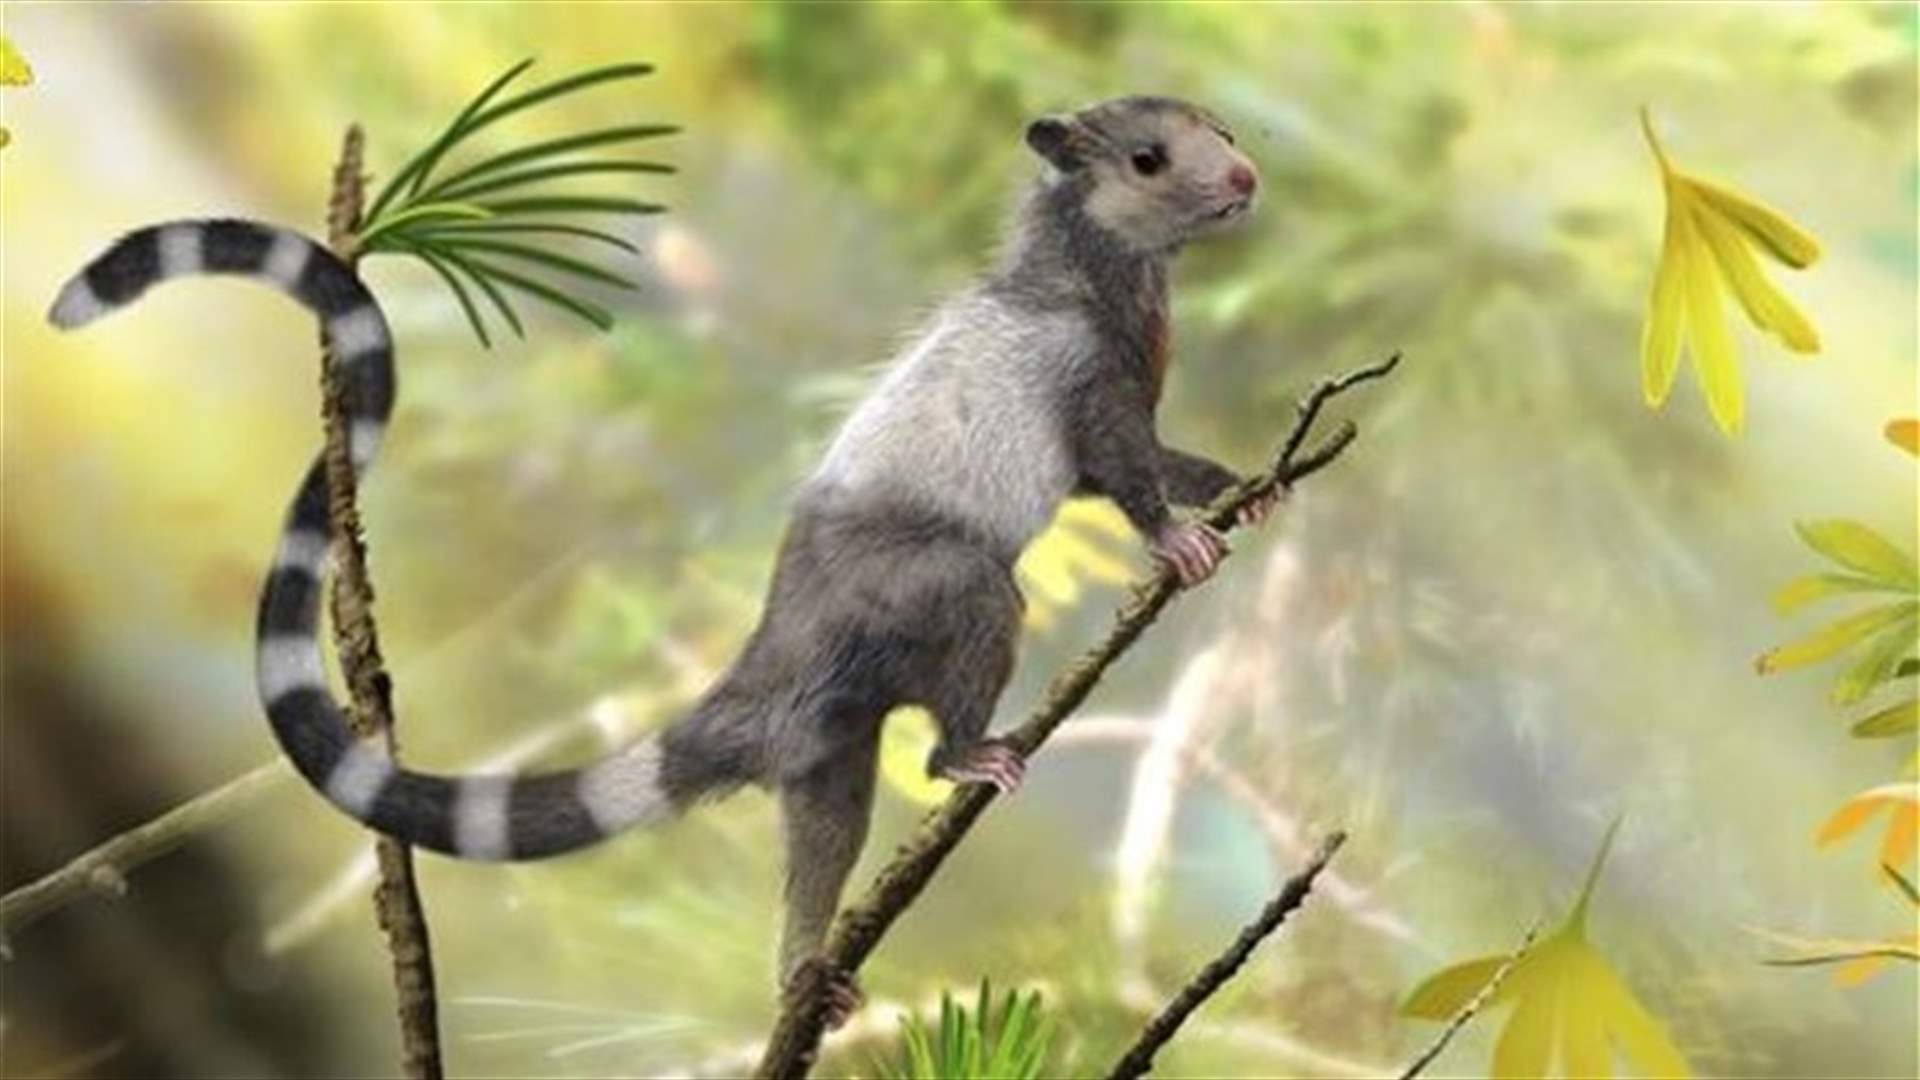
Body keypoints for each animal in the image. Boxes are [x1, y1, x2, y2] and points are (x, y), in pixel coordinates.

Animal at [47, 94, 1272, 1024]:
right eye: (1150, 158)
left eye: (1211, 123)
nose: (1248, 176)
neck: (1094, 272)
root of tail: (779, 657)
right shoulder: (1087, 377)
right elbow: (1118, 469)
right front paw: (1176, 534)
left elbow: (1154, 459)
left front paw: (1238, 482)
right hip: (918, 592)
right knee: (974, 614)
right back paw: (966, 756)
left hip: (827, 750)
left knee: (826, 833)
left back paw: (804, 974)